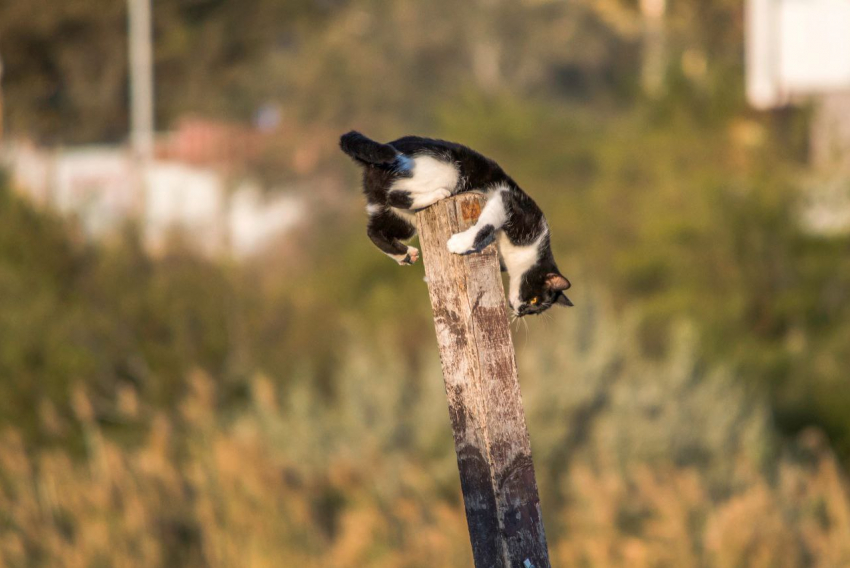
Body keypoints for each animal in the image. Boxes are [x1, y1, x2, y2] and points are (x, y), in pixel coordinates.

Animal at [338, 131, 568, 318]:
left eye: (534, 309)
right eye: (535, 300)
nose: (522, 312)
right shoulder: (509, 200)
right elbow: (486, 224)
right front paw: (459, 243)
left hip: (397, 216)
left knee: (374, 230)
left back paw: (404, 254)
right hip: (445, 171)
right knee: (395, 195)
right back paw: (438, 195)